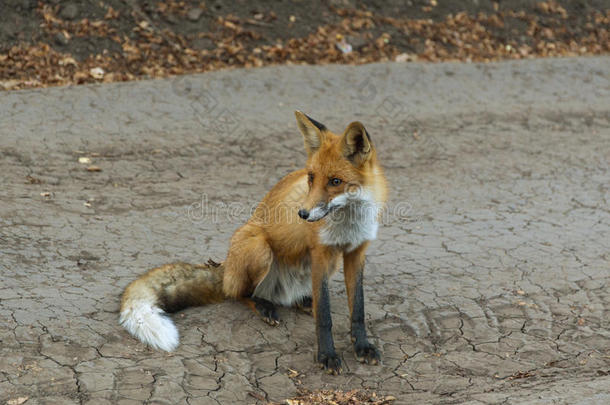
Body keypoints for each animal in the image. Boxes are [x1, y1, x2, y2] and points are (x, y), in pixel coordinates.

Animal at [118, 110, 384, 372]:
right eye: (311, 177)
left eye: (335, 181)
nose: (302, 214)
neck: (349, 223)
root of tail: (224, 268)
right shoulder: (321, 252)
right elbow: (325, 317)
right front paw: (327, 355)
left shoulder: (356, 252)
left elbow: (357, 309)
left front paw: (362, 346)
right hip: (259, 247)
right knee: (240, 294)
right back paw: (264, 306)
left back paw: (302, 301)